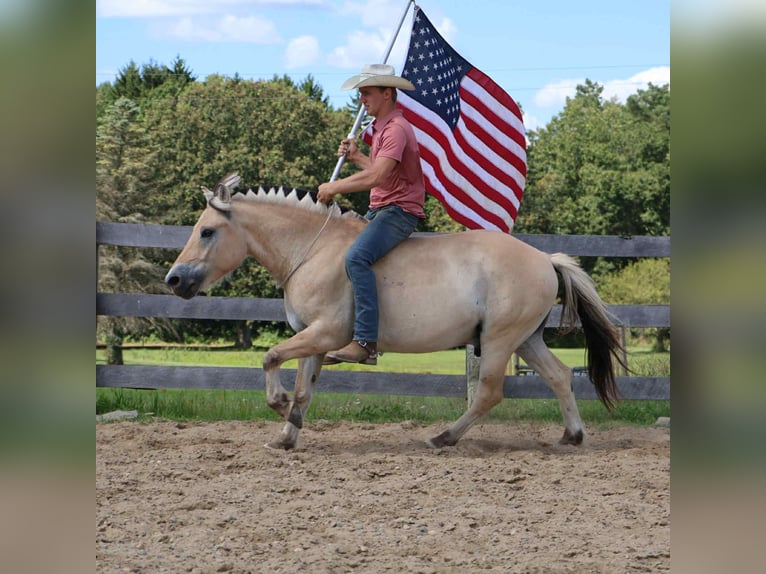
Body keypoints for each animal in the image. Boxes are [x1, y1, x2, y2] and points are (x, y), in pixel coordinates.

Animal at [165, 174, 626, 450]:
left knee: (489, 393)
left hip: (499, 341)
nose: (174, 280)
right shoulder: (314, 340)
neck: (312, 251)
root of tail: (545, 259)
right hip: (526, 339)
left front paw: (279, 405)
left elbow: (271, 357)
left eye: (207, 231)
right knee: (560, 376)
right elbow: (304, 390)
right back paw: (571, 435)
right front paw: (287, 434)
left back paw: (443, 437)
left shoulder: (326, 333)